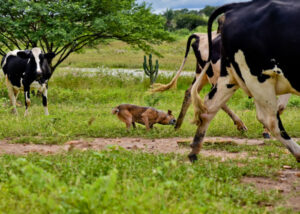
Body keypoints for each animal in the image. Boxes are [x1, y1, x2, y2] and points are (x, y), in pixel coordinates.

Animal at [190, 0, 300, 162]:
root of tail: (239, 5)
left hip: (228, 77)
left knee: (209, 105)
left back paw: (194, 150)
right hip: (259, 78)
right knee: (270, 119)